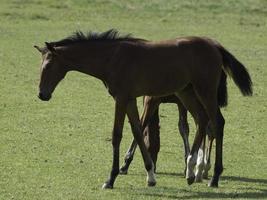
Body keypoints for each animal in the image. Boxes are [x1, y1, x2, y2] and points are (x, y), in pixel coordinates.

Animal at [34, 28, 253, 188]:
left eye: (48, 66)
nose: (42, 94)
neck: (112, 57)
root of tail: (215, 46)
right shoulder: (131, 100)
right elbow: (138, 131)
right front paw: (150, 175)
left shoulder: (121, 98)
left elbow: (117, 134)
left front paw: (110, 179)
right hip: (187, 93)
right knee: (202, 120)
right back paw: (191, 170)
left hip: (204, 91)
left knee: (217, 122)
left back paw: (212, 176)